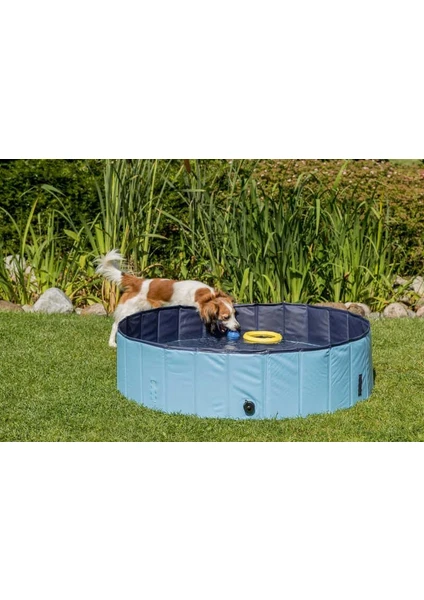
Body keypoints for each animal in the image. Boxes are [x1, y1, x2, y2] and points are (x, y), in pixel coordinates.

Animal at [95, 250, 240, 348]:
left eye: (234, 314)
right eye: (226, 317)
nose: (238, 327)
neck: (204, 295)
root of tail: (138, 282)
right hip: (129, 310)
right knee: (115, 325)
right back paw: (112, 343)